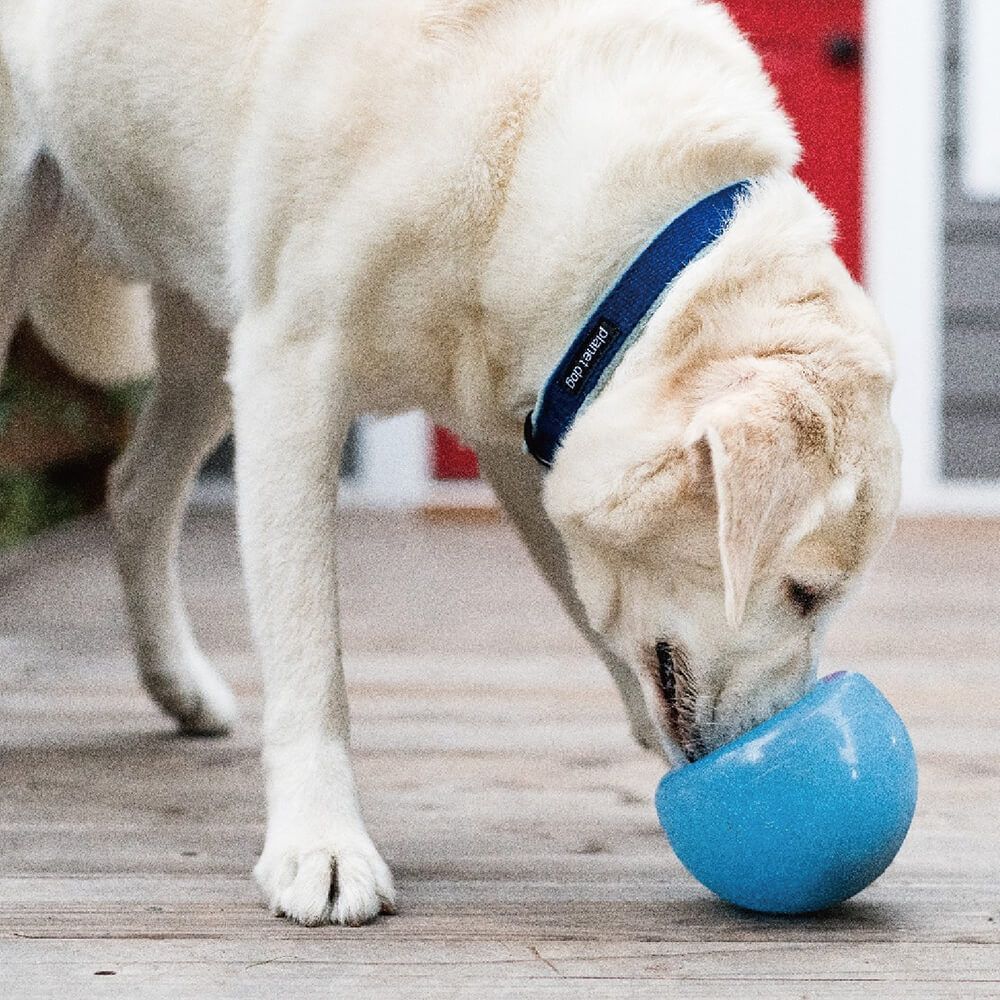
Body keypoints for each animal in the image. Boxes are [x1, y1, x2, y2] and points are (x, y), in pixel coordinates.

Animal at [0, 0, 904, 928]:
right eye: (805, 592)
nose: (785, 735)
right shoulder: (292, 371)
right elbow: (309, 654)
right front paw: (321, 845)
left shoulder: (523, 430)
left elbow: (601, 617)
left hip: (209, 326)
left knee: (135, 488)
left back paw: (178, 684)